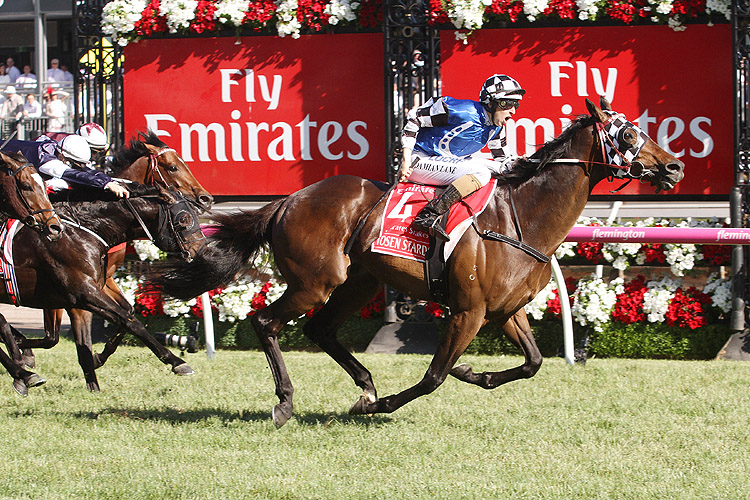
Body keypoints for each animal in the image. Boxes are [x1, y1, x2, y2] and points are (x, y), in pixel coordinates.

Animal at [0, 184, 206, 394]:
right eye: (184, 219)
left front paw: (95, 379)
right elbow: (130, 322)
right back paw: (23, 371)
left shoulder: (89, 293)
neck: (79, 232)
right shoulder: (83, 292)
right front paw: (177, 362)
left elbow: (89, 343)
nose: (202, 250)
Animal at [19, 129, 214, 382]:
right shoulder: (76, 282)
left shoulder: (105, 277)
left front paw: (99, 356)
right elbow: (52, 335)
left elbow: (127, 312)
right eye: (172, 167)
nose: (206, 198)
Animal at [156, 96, 684, 426]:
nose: (674, 166)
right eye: (627, 133)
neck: (521, 219)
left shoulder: (506, 310)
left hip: (359, 283)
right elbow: (432, 376)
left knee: (320, 329)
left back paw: (365, 386)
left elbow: (532, 363)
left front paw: (475, 374)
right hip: (315, 281)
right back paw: (289, 403)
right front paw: (390, 402)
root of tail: (288, 201)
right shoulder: (469, 311)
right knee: (266, 321)